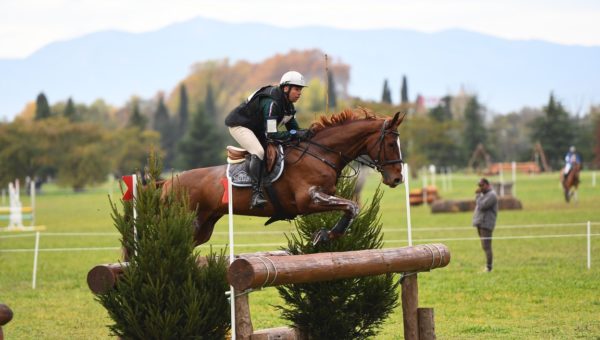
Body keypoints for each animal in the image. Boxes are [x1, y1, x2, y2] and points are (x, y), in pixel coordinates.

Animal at [162, 107, 406, 246]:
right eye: (391, 144)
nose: (397, 179)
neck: (320, 153)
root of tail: (167, 183)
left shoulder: (326, 195)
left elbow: (350, 207)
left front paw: (326, 235)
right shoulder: (309, 198)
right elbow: (352, 207)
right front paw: (324, 235)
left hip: (203, 226)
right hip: (189, 222)